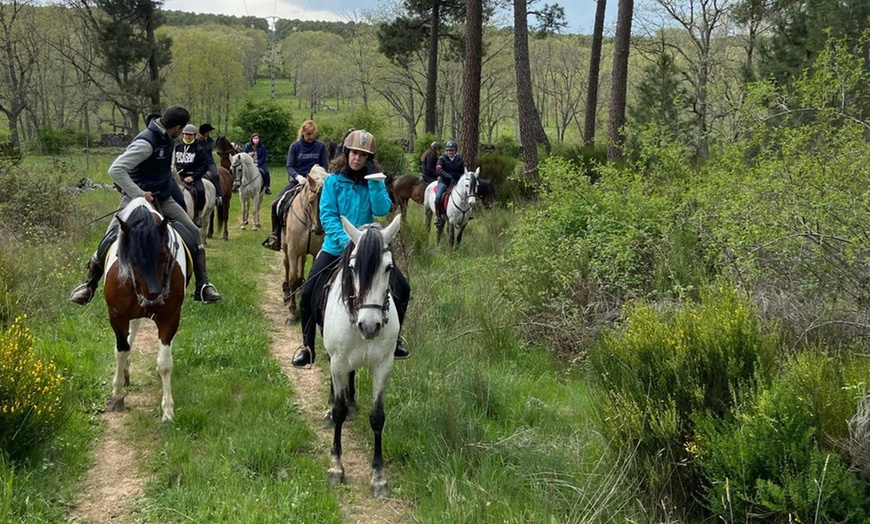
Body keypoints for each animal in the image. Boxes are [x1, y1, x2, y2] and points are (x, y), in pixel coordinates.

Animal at [103, 196, 190, 422]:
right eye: (130, 257)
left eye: (164, 254)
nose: (154, 299)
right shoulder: (117, 315)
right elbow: (121, 350)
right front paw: (117, 395)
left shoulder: (170, 317)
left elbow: (165, 363)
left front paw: (168, 411)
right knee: (129, 339)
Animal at [322, 214, 404, 500]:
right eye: (353, 268)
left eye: (389, 268)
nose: (370, 326)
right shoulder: (337, 361)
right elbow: (339, 411)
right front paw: (336, 467)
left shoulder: (384, 365)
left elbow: (377, 417)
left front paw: (378, 477)